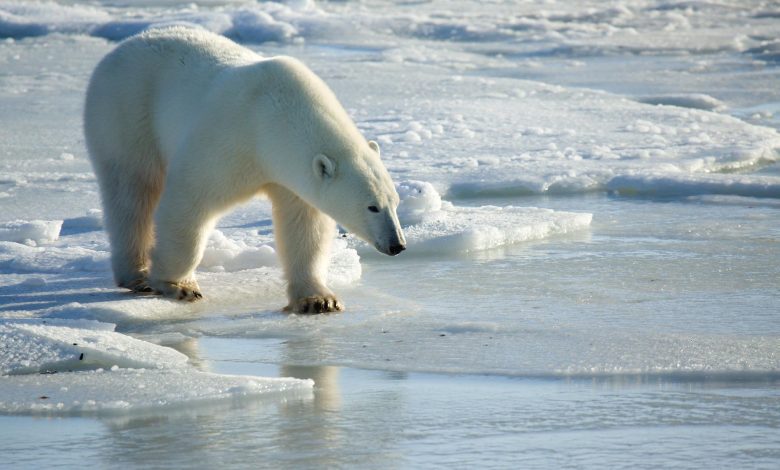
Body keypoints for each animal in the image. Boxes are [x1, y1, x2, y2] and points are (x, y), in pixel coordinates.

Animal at [84, 25, 406, 312]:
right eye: (372, 207)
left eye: (395, 202)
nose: (398, 245)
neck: (272, 118)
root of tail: (123, 46)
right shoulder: (230, 140)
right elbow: (189, 201)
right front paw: (179, 285)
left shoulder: (289, 176)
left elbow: (304, 226)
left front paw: (318, 299)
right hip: (126, 112)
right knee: (132, 191)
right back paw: (137, 275)